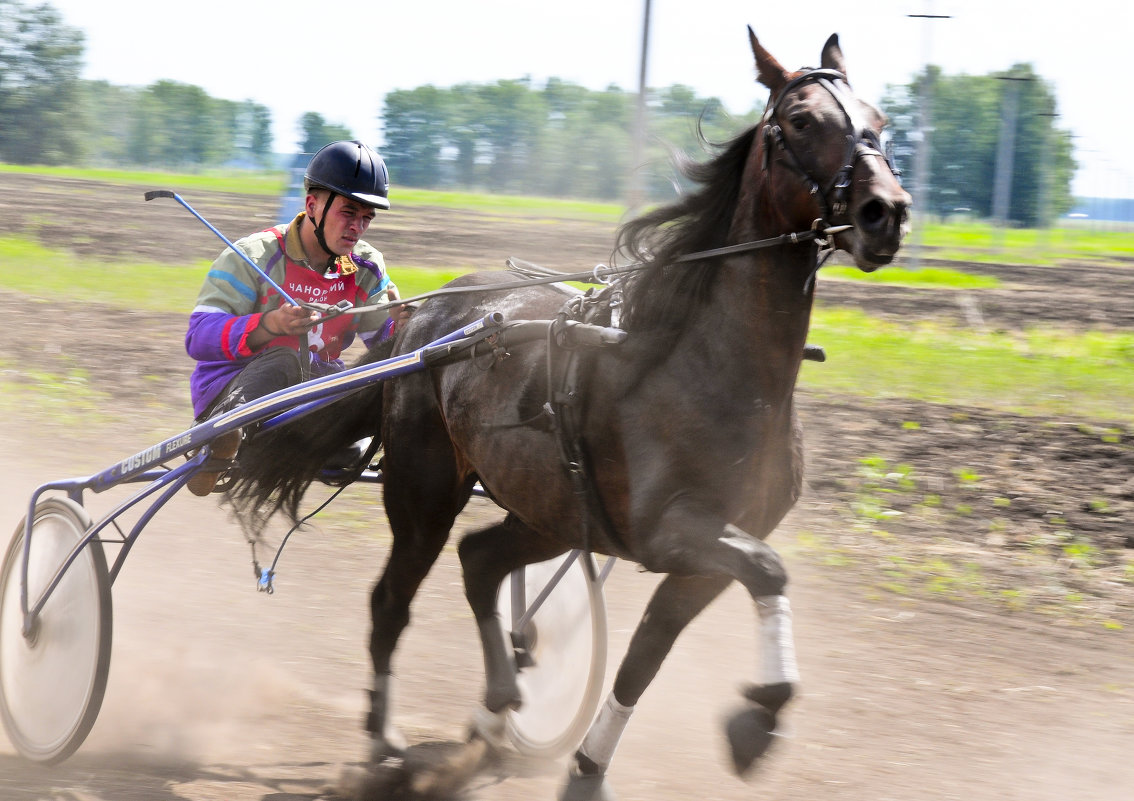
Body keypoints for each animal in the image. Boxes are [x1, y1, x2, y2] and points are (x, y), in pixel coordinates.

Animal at [230, 26, 911, 798]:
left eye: (879, 118)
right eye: (800, 120)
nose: (885, 213)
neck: (718, 368)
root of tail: (417, 325)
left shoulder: (705, 548)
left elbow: (646, 656)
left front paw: (587, 767)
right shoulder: (673, 529)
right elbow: (768, 572)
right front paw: (758, 716)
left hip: (550, 509)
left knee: (480, 560)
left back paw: (497, 705)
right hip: (424, 491)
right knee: (393, 600)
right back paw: (383, 740)